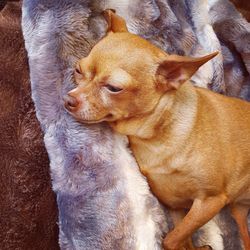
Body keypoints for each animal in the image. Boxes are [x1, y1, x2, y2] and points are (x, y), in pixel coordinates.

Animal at [64, 10, 250, 249]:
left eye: (113, 88)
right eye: (78, 70)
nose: (69, 100)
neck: (156, 137)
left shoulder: (211, 201)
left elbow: (171, 239)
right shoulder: (176, 208)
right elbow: (182, 239)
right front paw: (198, 246)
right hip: (238, 211)